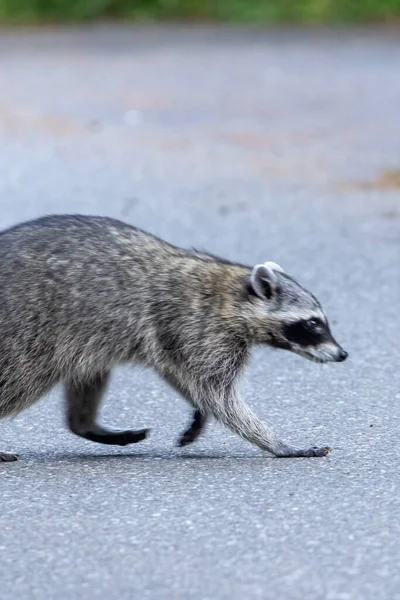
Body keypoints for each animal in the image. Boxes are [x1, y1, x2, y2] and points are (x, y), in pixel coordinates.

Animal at [0, 216, 346, 464]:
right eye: (313, 323)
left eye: (321, 321)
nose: (343, 355)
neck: (232, 293)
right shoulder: (199, 326)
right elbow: (218, 395)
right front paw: (276, 442)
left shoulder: (178, 338)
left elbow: (185, 379)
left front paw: (199, 416)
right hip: (30, 330)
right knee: (21, 379)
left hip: (83, 338)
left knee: (89, 373)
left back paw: (84, 424)